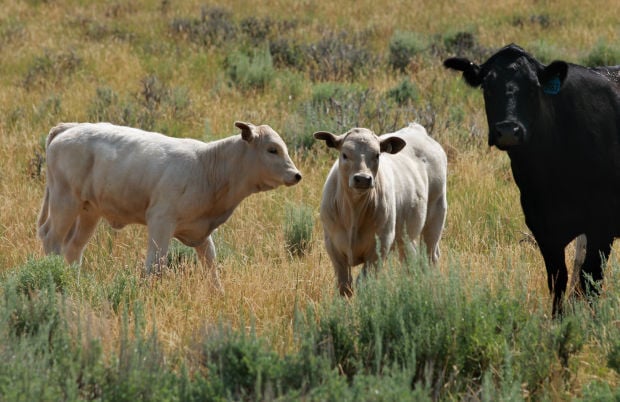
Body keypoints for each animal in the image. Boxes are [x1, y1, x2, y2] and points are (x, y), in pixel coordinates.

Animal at [37, 121, 302, 284]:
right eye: (272, 149)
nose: (296, 175)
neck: (207, 167)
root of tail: (69, 127)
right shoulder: (161, 221)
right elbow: (155, 265)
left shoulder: (200, 231)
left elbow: (211, 266)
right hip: (64, 201)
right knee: (52, 238)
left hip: (89, 211)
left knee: (74, 247)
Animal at [314, 124, 446, 296]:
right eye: (345, 154)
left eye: (377, 155)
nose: (362, 179)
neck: (354, 212)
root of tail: (416, 129)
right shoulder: (333, 246)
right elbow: (345, 286)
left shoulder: (380, 245)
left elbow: (363, 283)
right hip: (406, 237)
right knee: (411, 260)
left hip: (436, 215)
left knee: (430, 257)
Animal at [444, 43, 620, 314]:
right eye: (487, 86)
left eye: (533, 86)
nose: (508, 130)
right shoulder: (544, 228)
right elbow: (558, 283)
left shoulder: (602, 226)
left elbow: (590, 283)